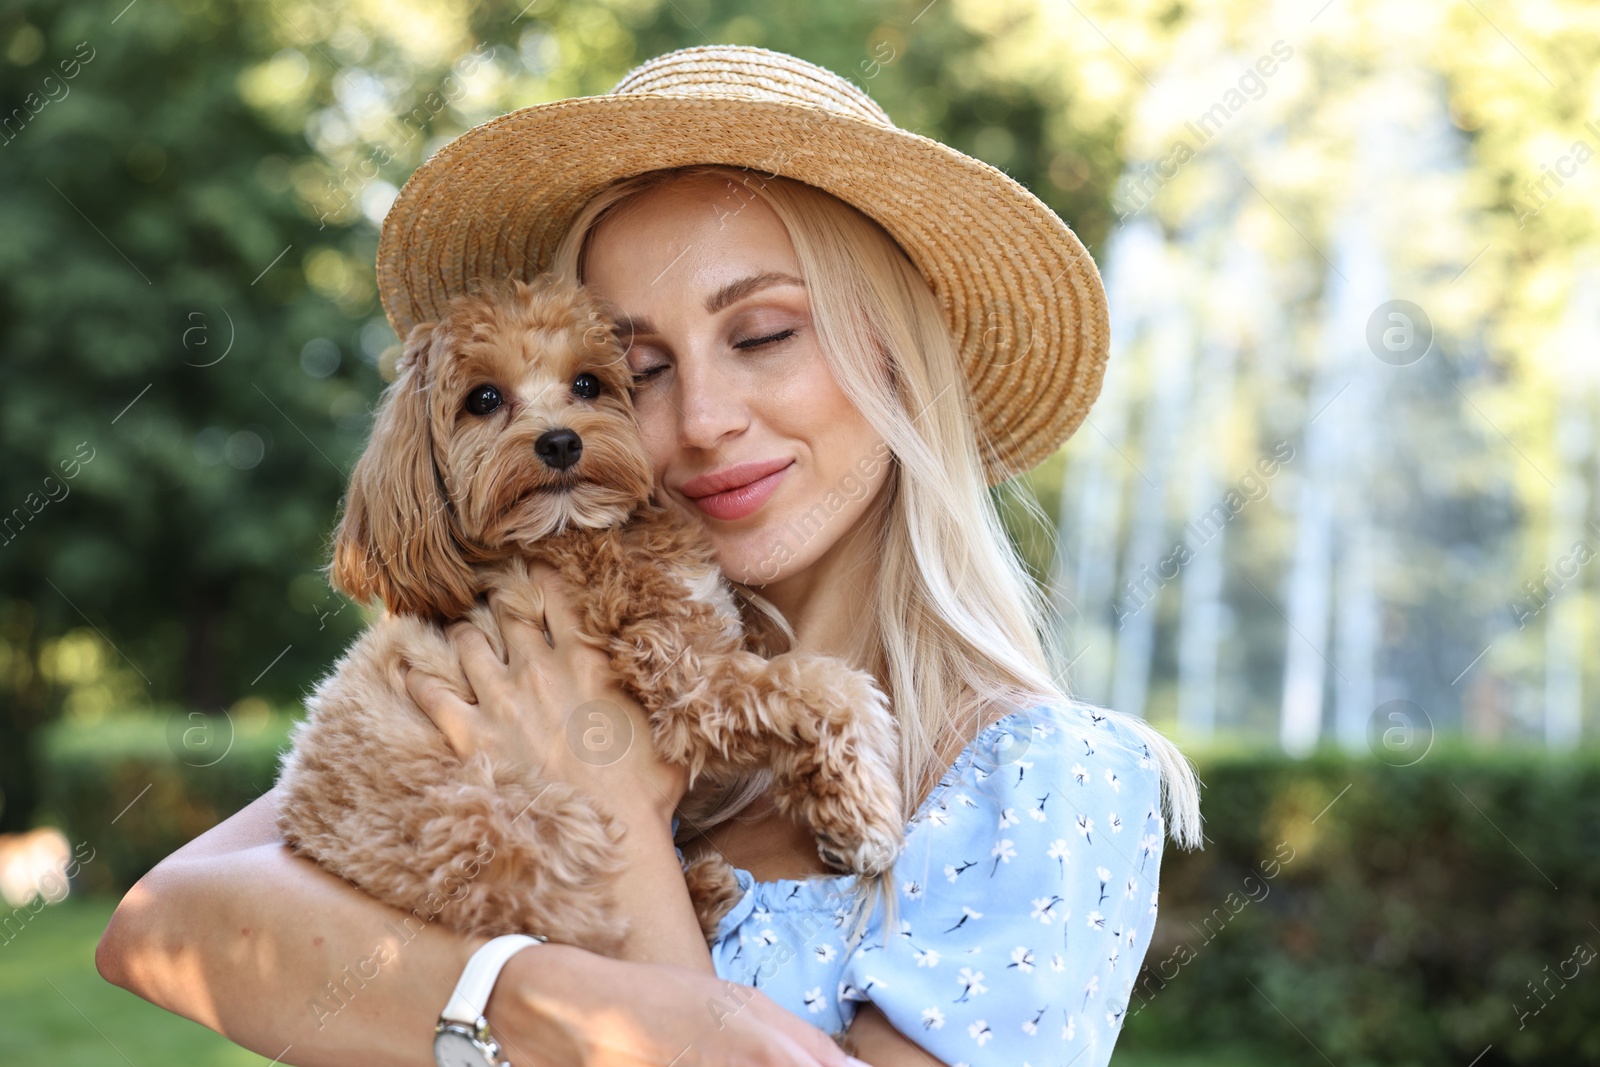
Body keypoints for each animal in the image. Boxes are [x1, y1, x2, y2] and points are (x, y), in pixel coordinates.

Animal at [273, 275, 902, 959]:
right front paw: (867, 816)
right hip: (522, 829)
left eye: (588, 383)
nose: (560, 441)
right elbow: (822, 687)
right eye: (483, 398)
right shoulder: (684, 680)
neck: (576, 533)